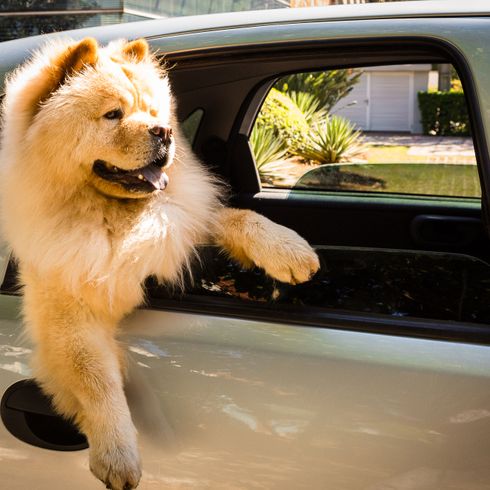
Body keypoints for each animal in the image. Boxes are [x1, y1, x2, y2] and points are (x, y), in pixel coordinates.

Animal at [0, 39, 320, 490]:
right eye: (113, 114)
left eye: (154, 113)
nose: (164, 132)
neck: (111, 218)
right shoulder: (67, 309)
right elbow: (96, 379)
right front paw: (117, 455)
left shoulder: (175, 226)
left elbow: (235, 217)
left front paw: (291, 252)